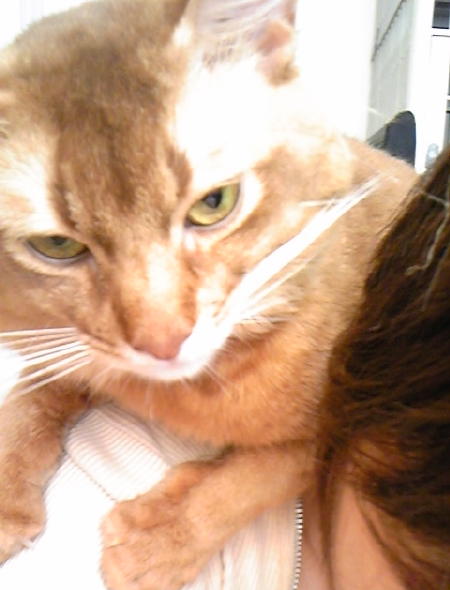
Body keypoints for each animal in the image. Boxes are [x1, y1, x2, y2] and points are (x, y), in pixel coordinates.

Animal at [0, 0, 417, 589]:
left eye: (214, 203)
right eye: (57, 245)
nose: (162, 339)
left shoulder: (347, 421)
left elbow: (261, 473)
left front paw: (159, 542)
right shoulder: (61, 342)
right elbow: (34, 392)